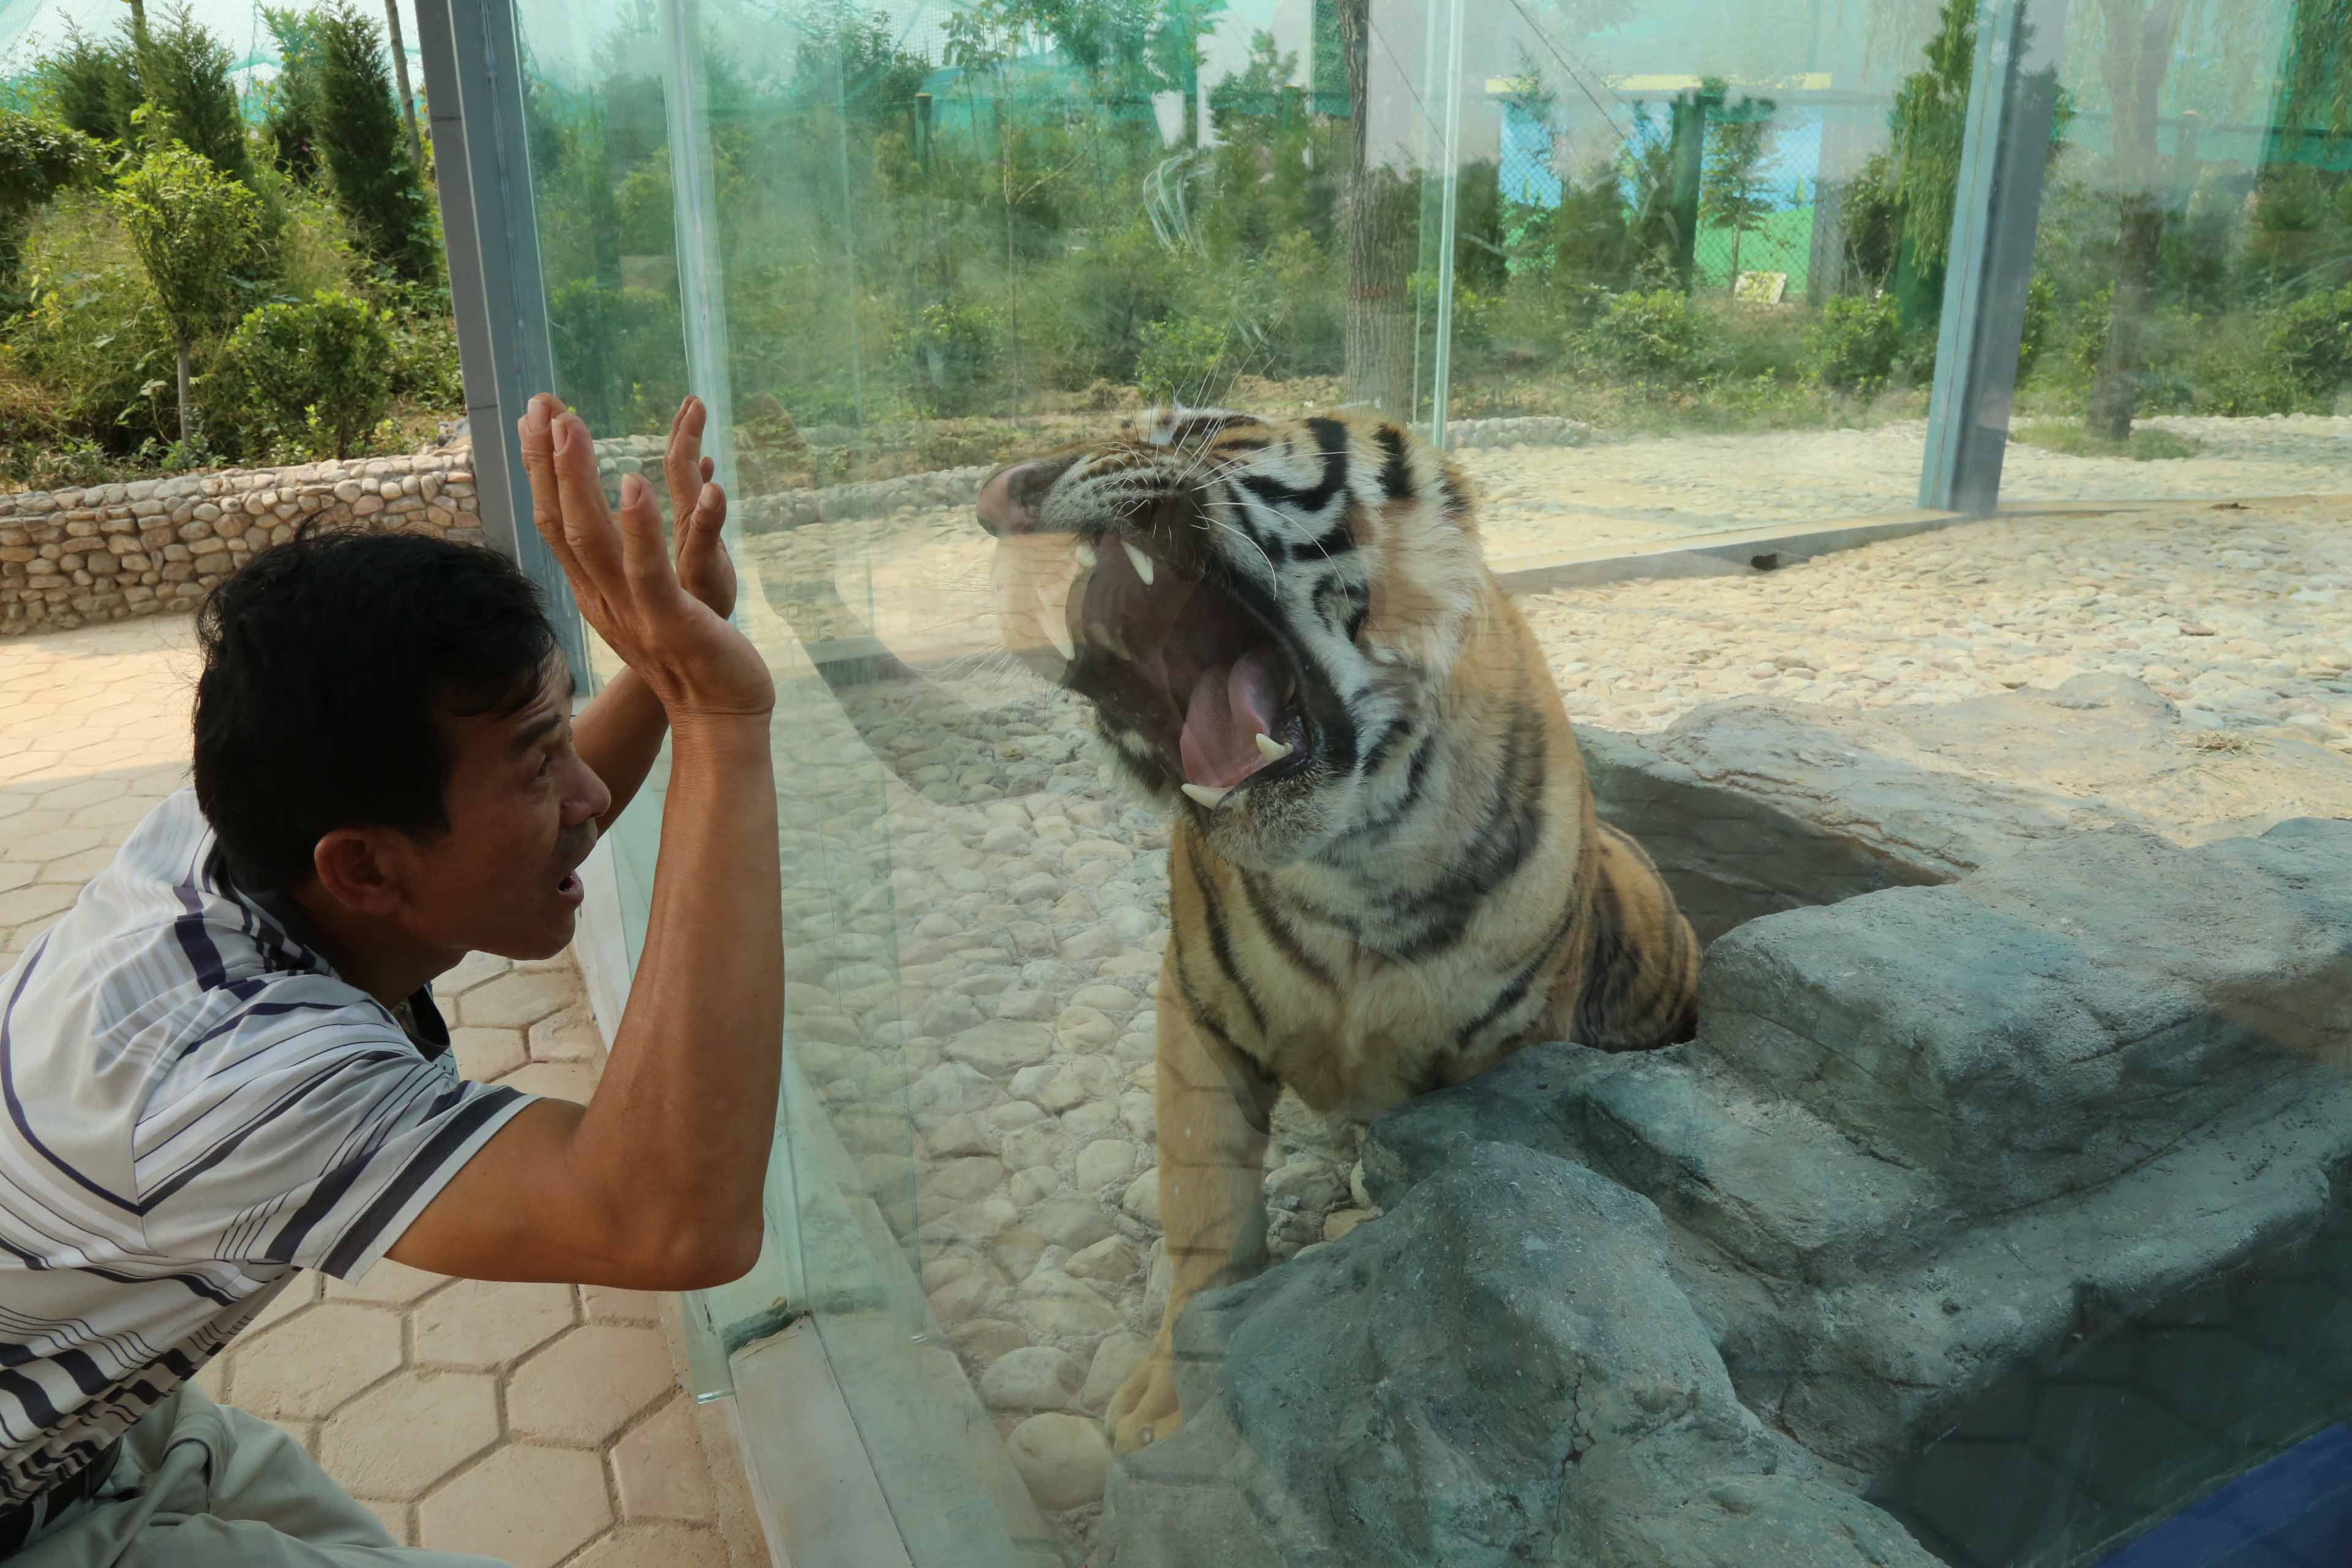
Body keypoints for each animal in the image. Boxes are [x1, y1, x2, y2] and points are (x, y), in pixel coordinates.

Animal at [964, 409, 1703, 1457]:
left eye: (1192, 430)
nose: (1002, 491)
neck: (1360, 861)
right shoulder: (1196, 1008)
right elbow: (1203, 1200)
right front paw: (1168, 1396)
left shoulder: (1512, 1048)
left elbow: (1461, 1179)